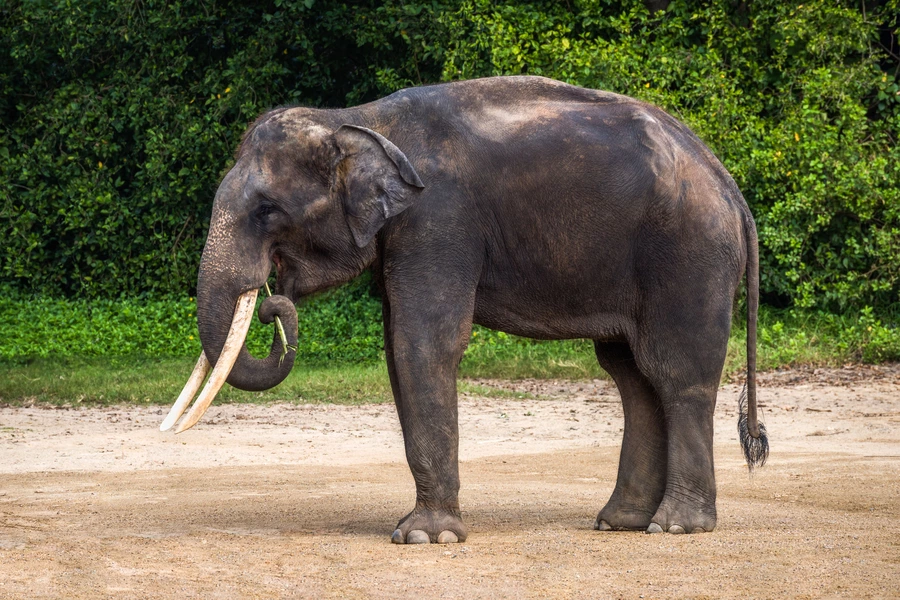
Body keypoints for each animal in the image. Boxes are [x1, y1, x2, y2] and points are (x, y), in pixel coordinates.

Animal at [163, 75, 768, 543]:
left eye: (267, 210)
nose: (274, 302)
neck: (357, 120)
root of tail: (730, 186)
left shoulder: (438, 218)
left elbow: (422, 342)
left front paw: (424, 538)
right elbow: (398, 350)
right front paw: (421, 530)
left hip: (688, 257)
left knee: (675, 372)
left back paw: (677, 527)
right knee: (630, 375)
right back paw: (621, 522)